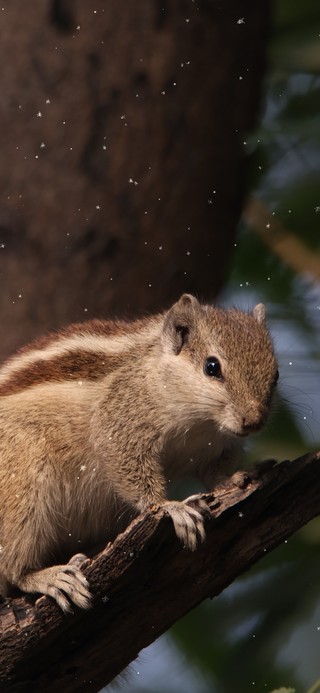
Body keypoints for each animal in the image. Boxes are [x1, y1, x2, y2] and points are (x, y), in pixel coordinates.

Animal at [0, 292, 278, 612]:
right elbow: (126, 462)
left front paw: (234, 479)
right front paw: (170, 507)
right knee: (13, 568)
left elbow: (213, 472)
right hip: (22, 485)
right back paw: (50, 577)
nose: (254, 421)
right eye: (212, 367)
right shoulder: (121, 421)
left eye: (276, 374)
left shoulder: (217, 446)